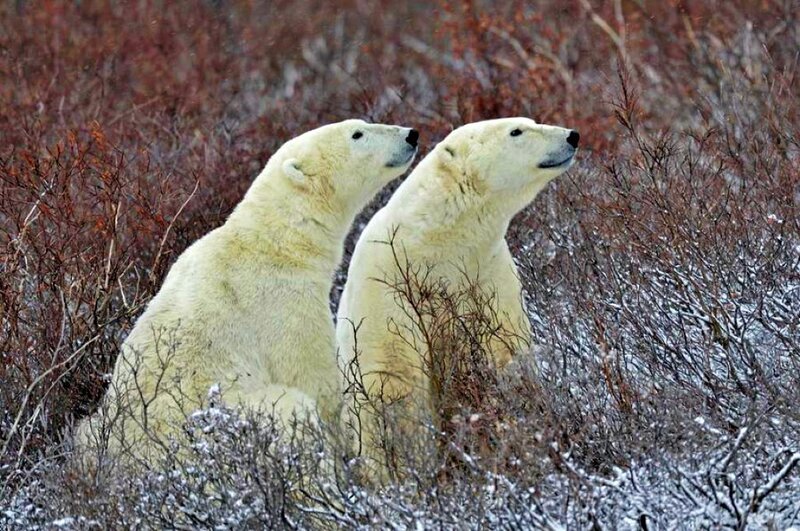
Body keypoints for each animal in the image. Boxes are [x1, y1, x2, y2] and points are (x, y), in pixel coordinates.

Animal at [77, 119, 419, 464]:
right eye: (357, 134)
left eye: (362, 124)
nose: (411, 135)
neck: (273, 242)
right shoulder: (284, 302)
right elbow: (312, 379)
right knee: (291, 410)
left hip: (90, 430)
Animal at [335, 117, 578, 477]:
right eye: (516, 131)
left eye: (531, 122)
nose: (572, 136)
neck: (437, 241)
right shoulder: (388, 280)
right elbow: (394, 378)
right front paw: (410, 467)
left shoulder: (486, 273)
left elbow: (505, 352)